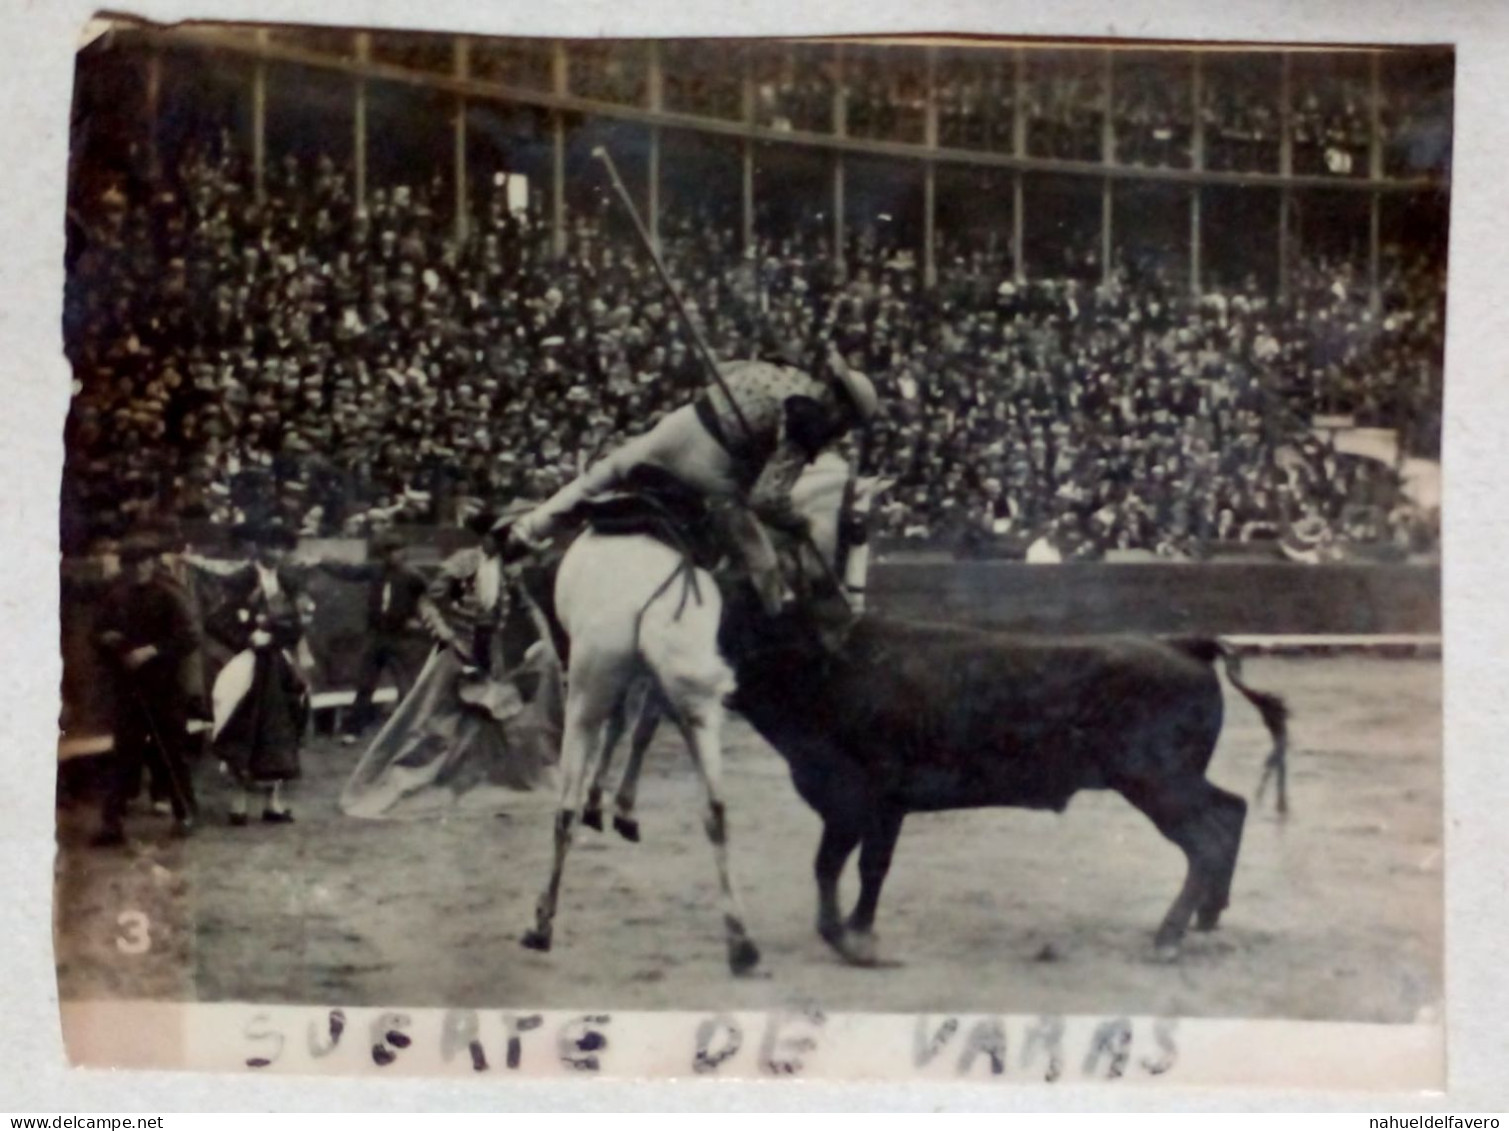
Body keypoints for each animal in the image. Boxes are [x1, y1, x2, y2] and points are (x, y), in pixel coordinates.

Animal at [525, 452, 887, 977]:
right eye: (858, 528)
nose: (854, 605)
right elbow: (635, 728)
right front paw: (614, 806)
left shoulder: (642, 678)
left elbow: (631, 729)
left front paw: (612, 807)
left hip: (597, 686)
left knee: (576, 805)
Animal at [715, 606, 1285, 971]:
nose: (720, 692)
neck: (834, 669)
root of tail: (1185, 646)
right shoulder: (882, 809)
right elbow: (865, 868)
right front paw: (861, 932)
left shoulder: (859, 801)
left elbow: (840, 865)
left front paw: (850, 939)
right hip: (1173, 781)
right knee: (1231, 811)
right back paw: (1209, 914)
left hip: (1159, 783)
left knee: (1208, 837)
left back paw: (1168, 937)